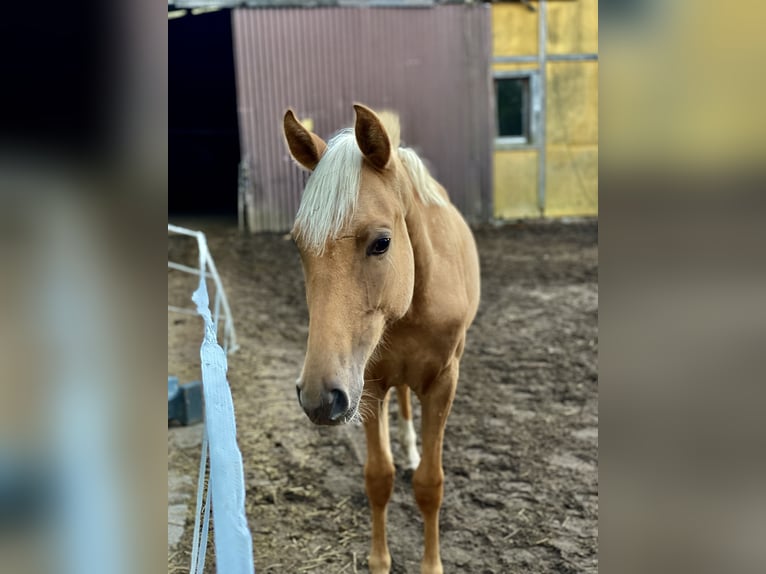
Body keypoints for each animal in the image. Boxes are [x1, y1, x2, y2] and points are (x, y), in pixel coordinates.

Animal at [284, 104, 480, 574]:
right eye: (298, 245)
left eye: (382, 242)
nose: (318, 397)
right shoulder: (368, 384)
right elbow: (378, 477)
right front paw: (379, 560)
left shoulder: (443, 383)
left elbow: (430, 484)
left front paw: (432, 565)